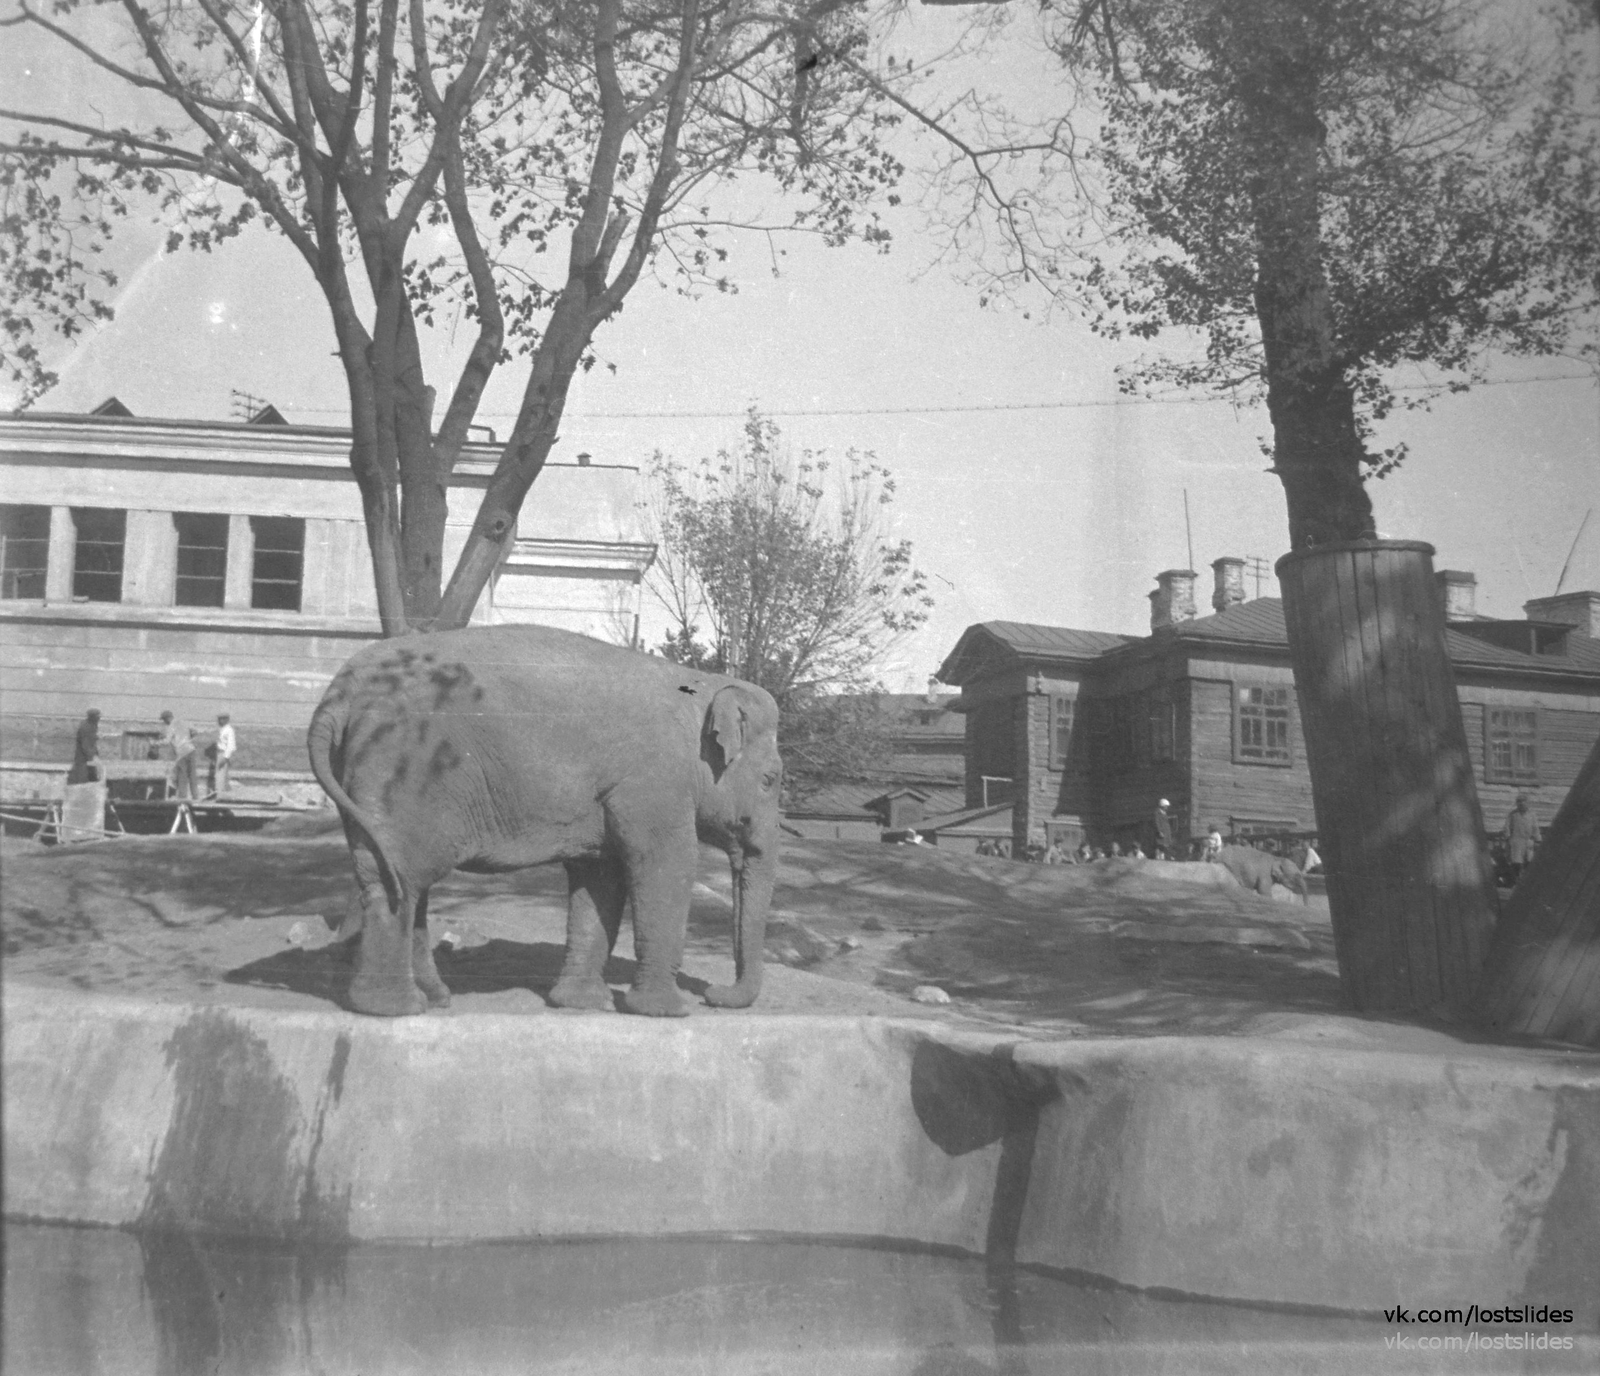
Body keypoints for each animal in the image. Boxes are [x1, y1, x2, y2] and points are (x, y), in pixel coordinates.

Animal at [305, 630, 780, 1017]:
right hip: (400, 769)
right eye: (771, 780)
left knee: (403, 879)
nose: (714, 994)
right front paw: (665, 1012)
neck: (701, 686)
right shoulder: (654, 782)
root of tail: (338, 692)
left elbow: (601, 877)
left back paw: (435, 999)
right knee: (396, 879)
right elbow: (668, 865)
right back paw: (394, 1009)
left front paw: (583, 1004)